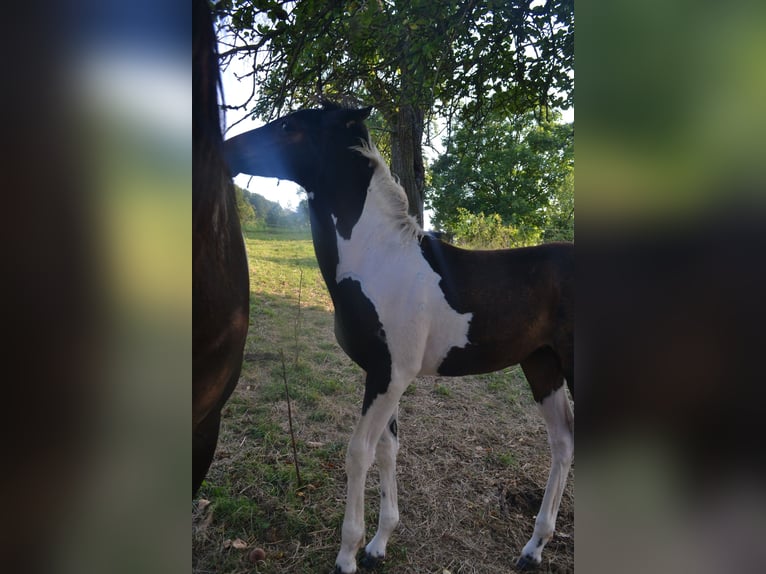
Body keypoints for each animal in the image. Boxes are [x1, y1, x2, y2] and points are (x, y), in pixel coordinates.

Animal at [225, 104, 572, 574]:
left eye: (289, 126)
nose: (224, 149)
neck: (378, 259)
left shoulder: (390, 375)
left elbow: (359, 452)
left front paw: (348, 554)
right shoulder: (384, 376)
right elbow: (388, 448)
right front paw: (378, 543)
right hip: (542, 366)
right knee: (563, 443)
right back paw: (533, 548)